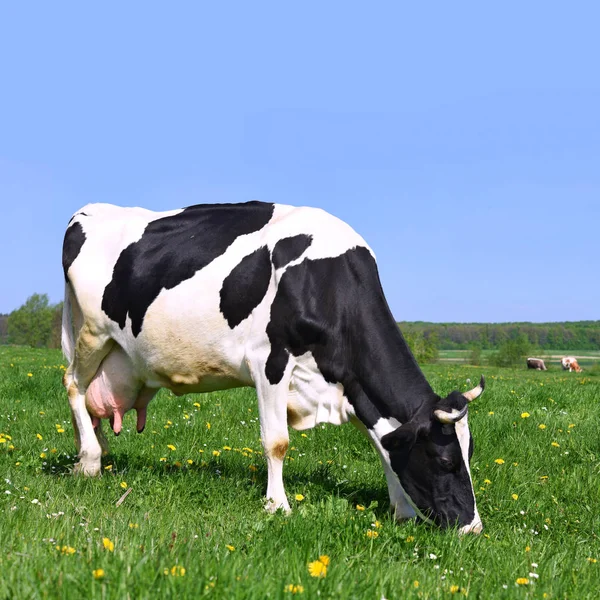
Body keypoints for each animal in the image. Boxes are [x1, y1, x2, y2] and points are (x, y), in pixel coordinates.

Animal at [61, 202, 486, 536]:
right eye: (445, 461)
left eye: (470, 453)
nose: (472, 528)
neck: (325, 281)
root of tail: (89, 210)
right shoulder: (269, 360)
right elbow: (277, 442)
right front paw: (278, 505)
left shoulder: (352, 385)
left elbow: (383, 445)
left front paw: (403, 510)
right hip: (91, 333)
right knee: (73, 385)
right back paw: (90, 461)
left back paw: (94, 451)